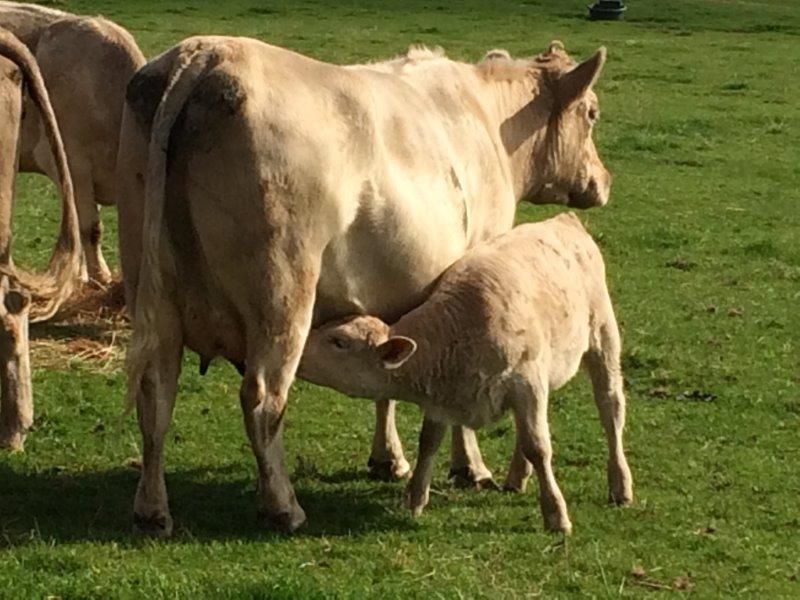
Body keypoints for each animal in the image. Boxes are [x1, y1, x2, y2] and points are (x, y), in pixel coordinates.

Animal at [300, 214, 634, 533]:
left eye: (339, 341)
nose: (300, 354)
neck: (456, 331)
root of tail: (565, 220)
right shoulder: (444, 397)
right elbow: (429, 442)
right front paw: (414, 499)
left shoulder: (526, 383)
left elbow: (539, 448)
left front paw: (556, 514)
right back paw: (517, 476)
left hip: (603, 339)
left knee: (610, 408)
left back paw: (620, 484)